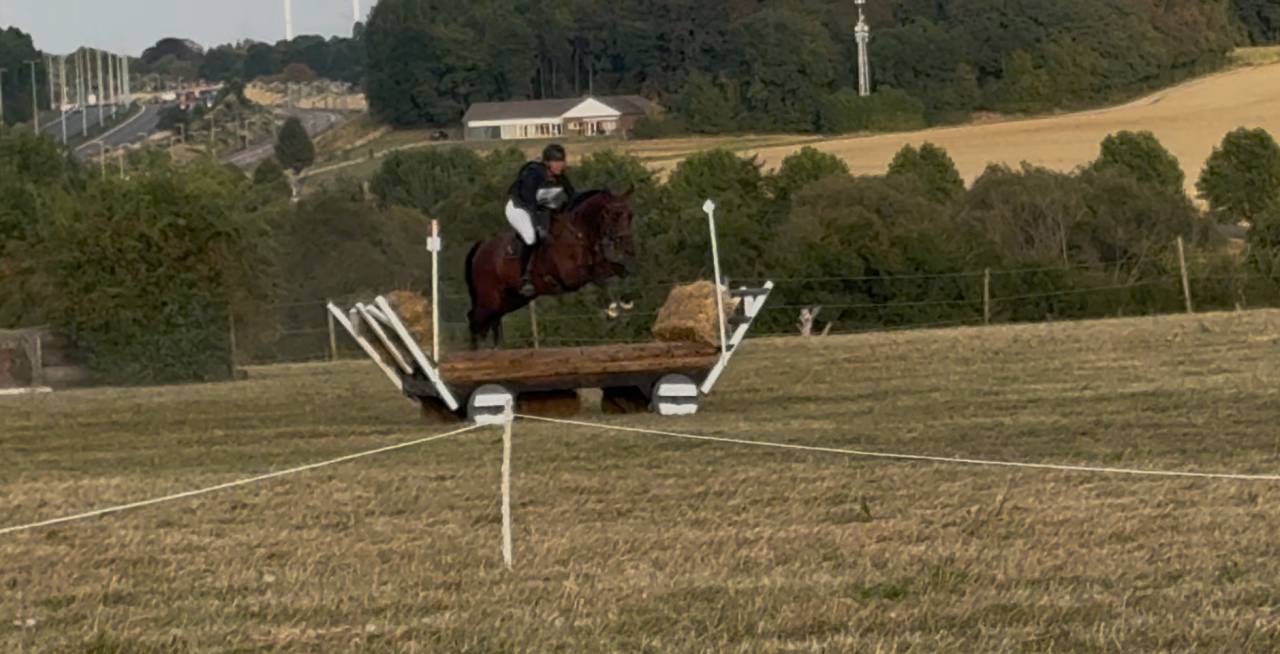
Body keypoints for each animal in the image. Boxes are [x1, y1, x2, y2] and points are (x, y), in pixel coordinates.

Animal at [464, 189, 637, 349]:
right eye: (615, 215)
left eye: (630, 216)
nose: (629, 248)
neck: (578, 234)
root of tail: (481, 246)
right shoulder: (572, 277)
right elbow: (598, 278)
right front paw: (612, 309)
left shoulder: (601, 266)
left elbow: (623, 271)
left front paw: (626, 301)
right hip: (490, 298)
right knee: (474, 319)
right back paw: (476, 352)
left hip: (513, 299)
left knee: (492, 320)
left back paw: (497, 348)